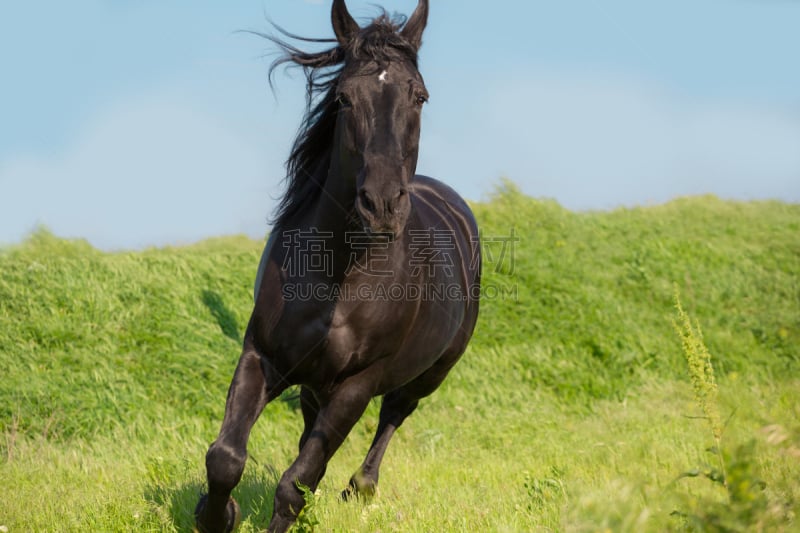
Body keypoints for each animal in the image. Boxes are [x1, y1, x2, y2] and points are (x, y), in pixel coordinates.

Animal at [194, 2, 482, 528]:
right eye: (345, 97)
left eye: (420, 96)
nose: (382, 205)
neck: (338, 275)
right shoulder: (262, 356)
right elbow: (225, 457)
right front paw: (214, 514)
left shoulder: (356, 386)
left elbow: (295, 483)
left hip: (429, 373)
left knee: (394, 413)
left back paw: (361, 488)